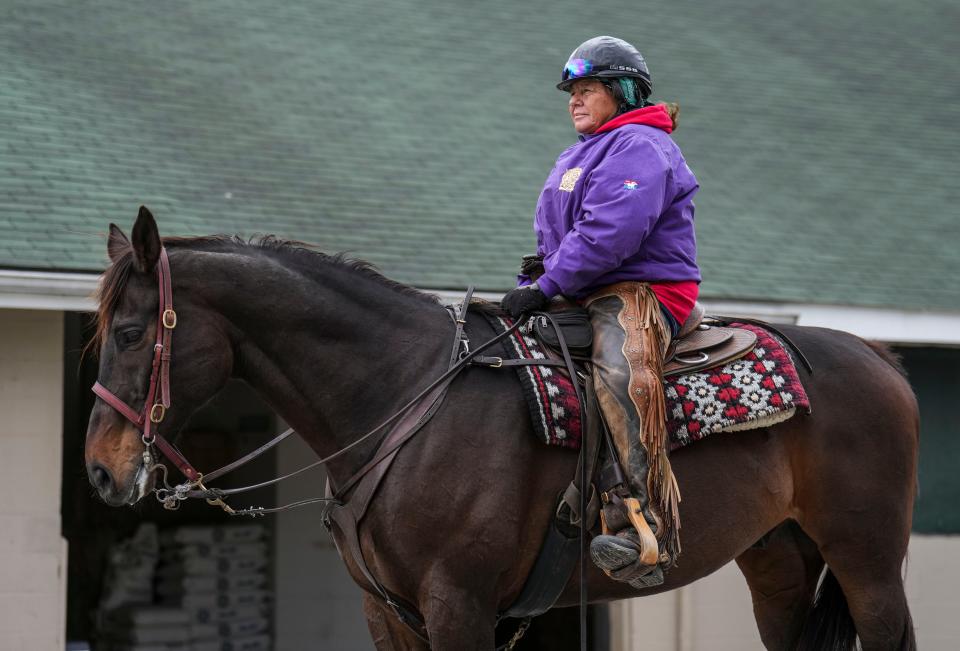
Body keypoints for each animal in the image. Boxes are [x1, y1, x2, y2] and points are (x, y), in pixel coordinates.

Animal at [86, 210, 920, 651]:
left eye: (130, 332)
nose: (100, 470)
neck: (401, 393)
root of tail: (880, 360)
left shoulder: (460, 604)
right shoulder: (388, 613)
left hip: (868, 562)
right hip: (778, 562)